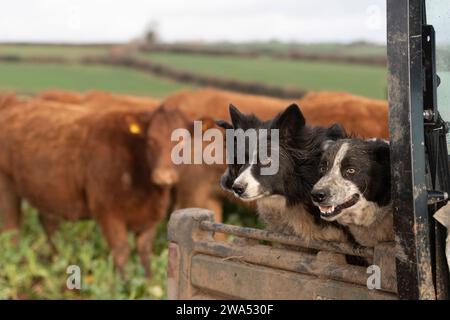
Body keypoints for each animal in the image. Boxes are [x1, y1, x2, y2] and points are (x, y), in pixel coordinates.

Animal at [0, 99, 190, 276]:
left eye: (183, 144)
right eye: (151, 140)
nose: (163, 177)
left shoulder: (150, 219)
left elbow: (145, 254)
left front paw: (148, 283)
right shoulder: (108, 212)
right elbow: (121, 252)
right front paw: (125, 284)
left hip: (47, 192)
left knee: (49, 226)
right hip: (6, 185)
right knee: (11, 228)